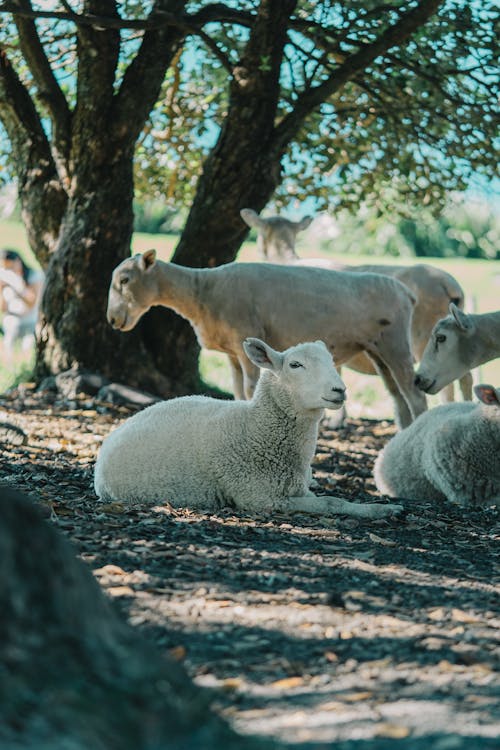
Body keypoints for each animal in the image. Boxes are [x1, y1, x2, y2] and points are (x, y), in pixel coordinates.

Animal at [94, 340, 402, 524]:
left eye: (331, 360)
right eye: (295, 365)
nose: (340, 390)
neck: (254, 427)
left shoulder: (293, 488)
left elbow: (332, 499)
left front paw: (382, 508)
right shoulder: (259, 497)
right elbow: (330, 502)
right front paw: (380, 510)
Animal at [105, 250, 426, 428]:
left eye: (125, 280)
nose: (112, 320)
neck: (204, 291)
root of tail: (408, 293)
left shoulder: (244, 338)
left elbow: (248, 387)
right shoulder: (232, 352)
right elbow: (236, 390)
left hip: (396, 344)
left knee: (416, 397)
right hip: (378, 350)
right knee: (398, 399)